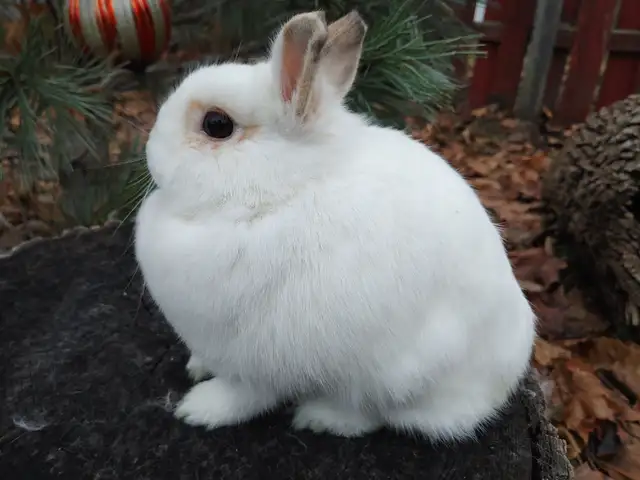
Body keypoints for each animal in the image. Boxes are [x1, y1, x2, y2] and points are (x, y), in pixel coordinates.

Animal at [134, 10, 537, 442]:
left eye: (216, 124)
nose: (150, 147)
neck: (274, 195)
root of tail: (498, 386)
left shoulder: (255, 360)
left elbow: (245, 395)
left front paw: (199, 410)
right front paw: (196, 367)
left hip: (399, 373)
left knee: (374, 414)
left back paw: (320, 417)